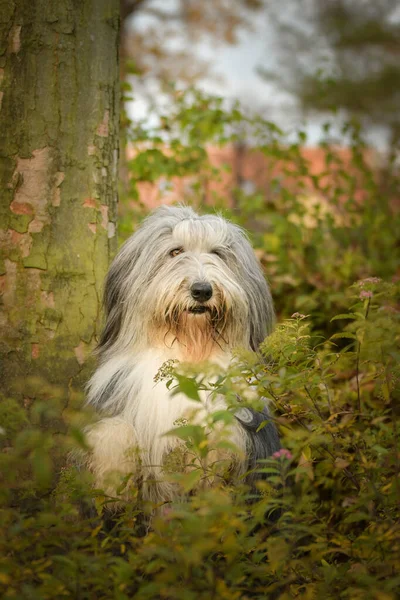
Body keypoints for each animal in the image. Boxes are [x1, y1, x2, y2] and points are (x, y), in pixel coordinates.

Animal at [85, 206, 278, 506]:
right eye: (175, 251)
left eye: (217, 253)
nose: (202, 290)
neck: (189, 352)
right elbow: (115, 431)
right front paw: (112, 488)